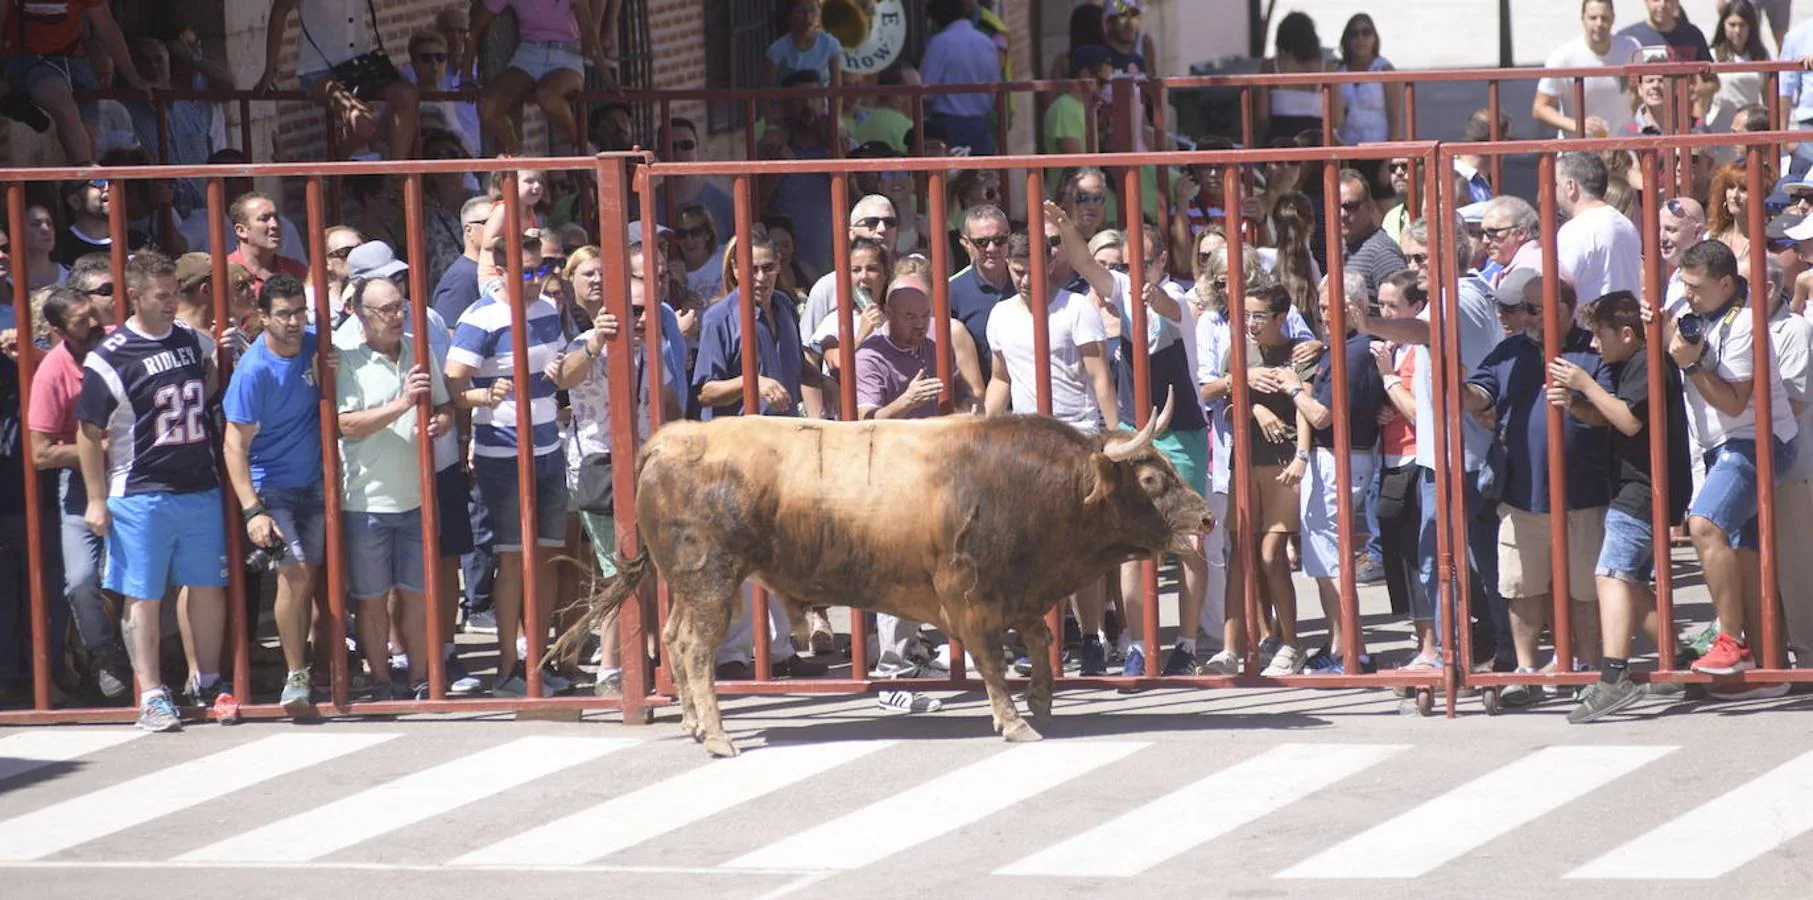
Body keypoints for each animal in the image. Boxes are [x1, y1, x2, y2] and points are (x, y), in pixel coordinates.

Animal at [558, 395, 1211, 758]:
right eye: (1150, 479)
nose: (1207, 516)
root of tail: (671, 440)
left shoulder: (1021, 591)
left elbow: (1042, 640)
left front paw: (1044, 703)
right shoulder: (969, 595)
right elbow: (992, 660)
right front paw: (1015, 722)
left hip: (688, 584)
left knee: (672, 638)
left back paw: (696, 724)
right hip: (713, 580)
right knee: (696, 648)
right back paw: (718, 737)